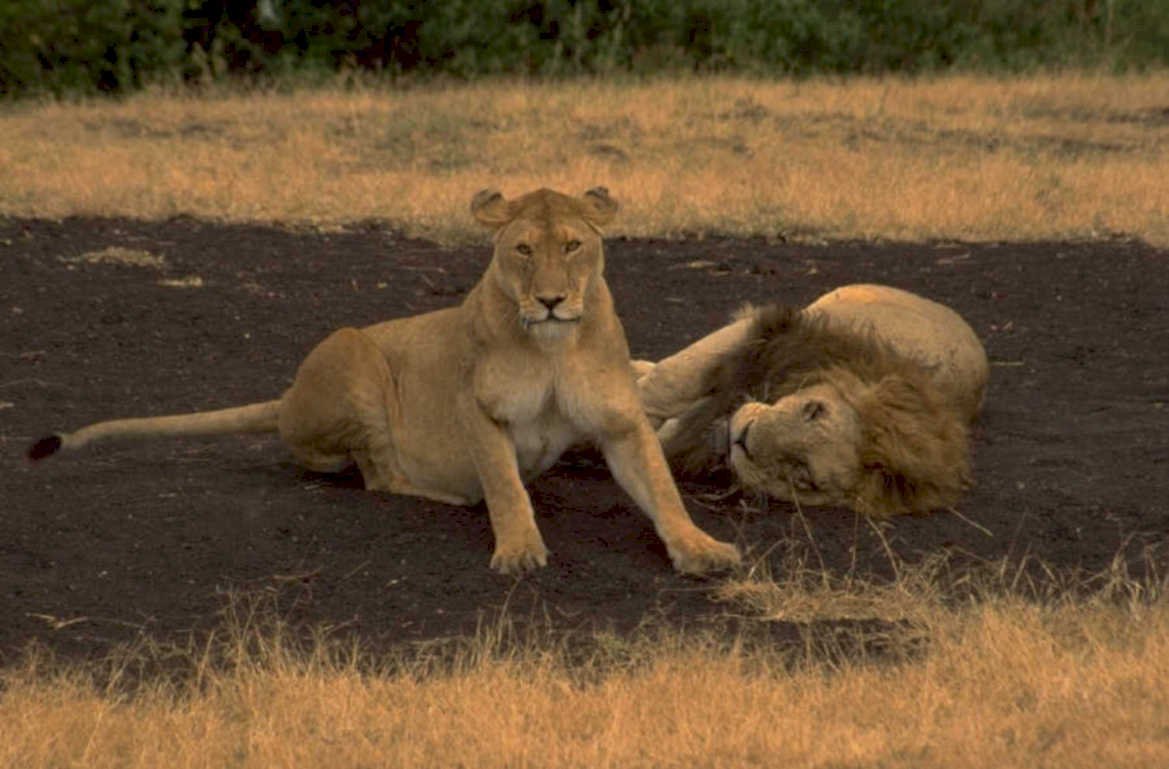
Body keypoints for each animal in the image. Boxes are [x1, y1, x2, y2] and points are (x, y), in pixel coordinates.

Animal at [27, 187, 740, 576]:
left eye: (572, 245)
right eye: (522, 250)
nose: (551, 300)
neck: (553, 349)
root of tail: (286, 399)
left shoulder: (620, 422)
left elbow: (662, 489)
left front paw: (701, 548)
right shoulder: (476, 407)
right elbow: (506, 486)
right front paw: (518, 549)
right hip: (353, 354)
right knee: (377, 473)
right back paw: (448, 495)